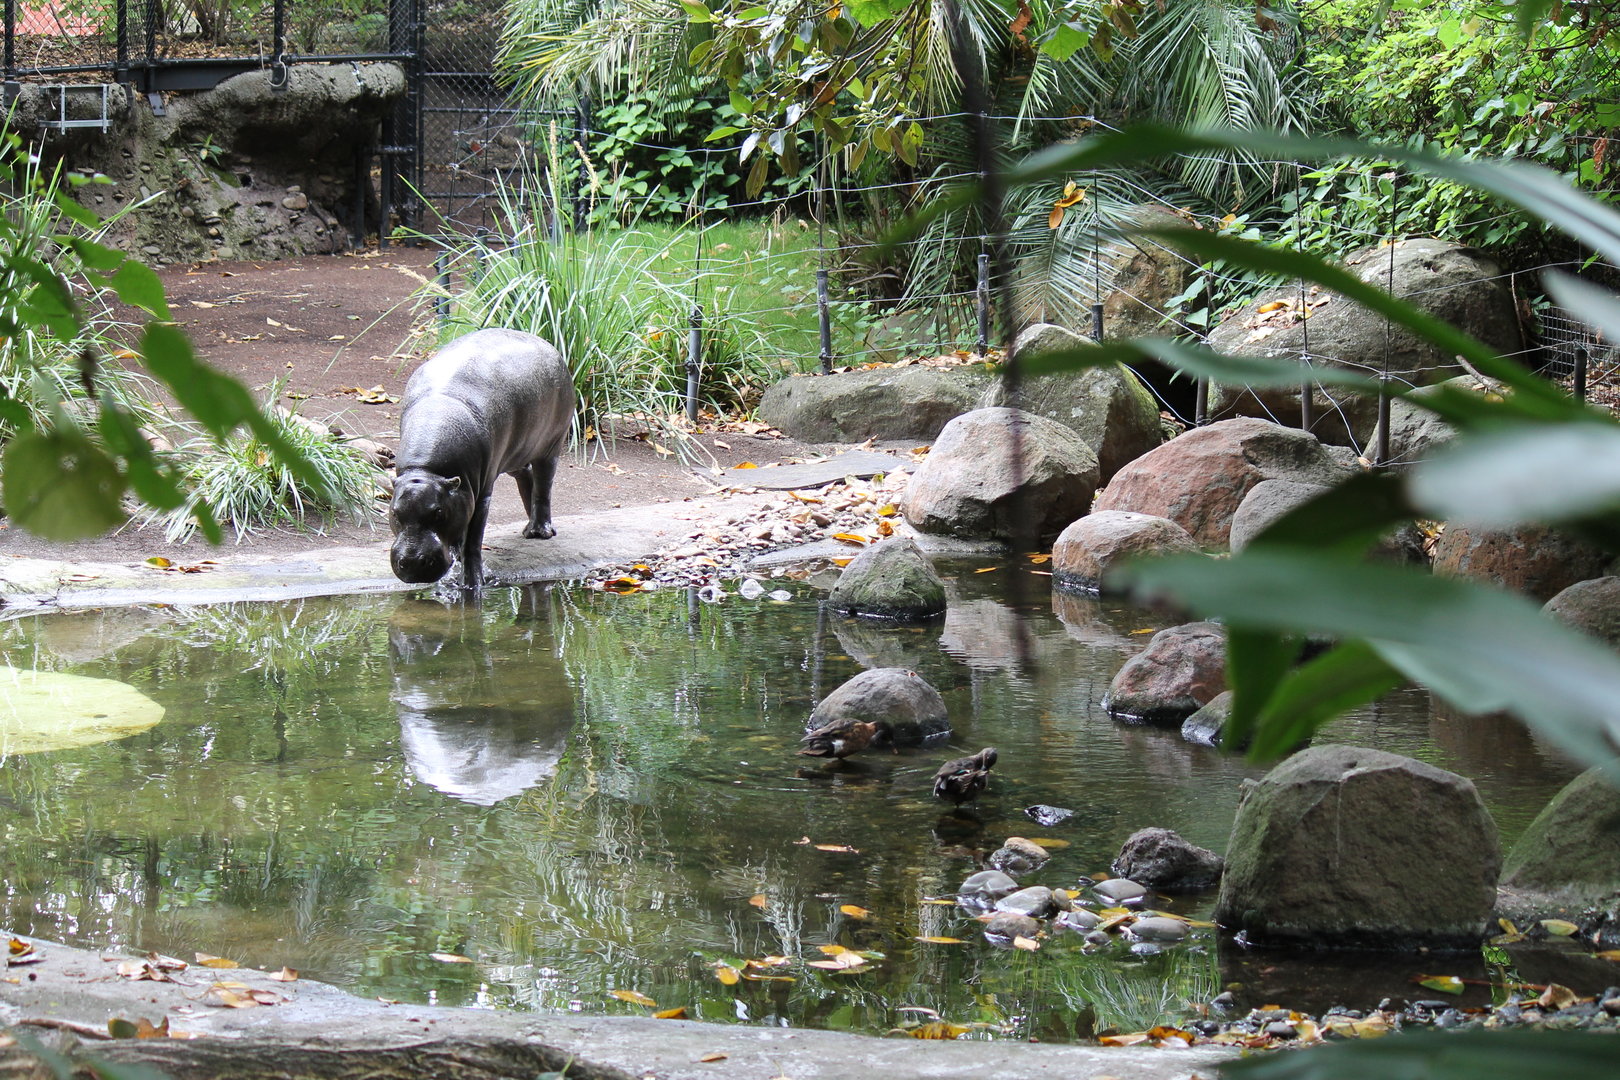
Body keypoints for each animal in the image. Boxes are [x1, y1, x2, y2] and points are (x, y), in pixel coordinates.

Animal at [389, 328, 575, 588]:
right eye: (395, 513)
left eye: (438, 512)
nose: (413, 563)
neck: (427, 471)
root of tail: (547, 344)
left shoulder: (481, 493)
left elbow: (473, 540)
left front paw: (472, 583)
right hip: (515, 453)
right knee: (526, 476)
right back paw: (528, 526)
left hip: (550, 446)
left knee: (543, 486)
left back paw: (540, 532)